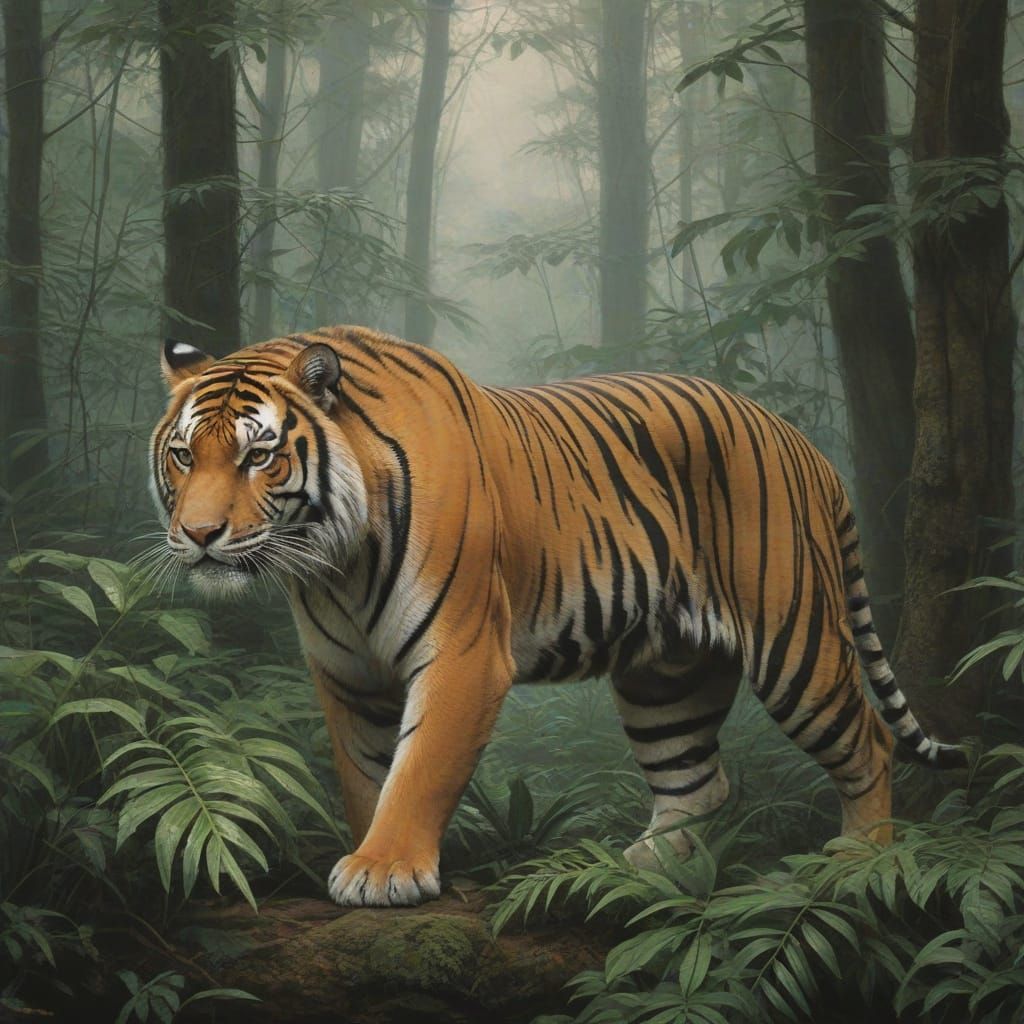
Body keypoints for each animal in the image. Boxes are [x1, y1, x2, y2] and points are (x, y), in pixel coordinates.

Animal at [150, 325, 964, 907]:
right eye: (185, 456)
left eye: (259, 458)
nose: (199, 534)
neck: (334, 564)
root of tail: (798, 440)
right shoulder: (347, 673)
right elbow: (364, 774)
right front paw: (368, 852)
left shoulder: (464, 654)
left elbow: (419, 768)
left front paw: (385, 871)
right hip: (666, 675)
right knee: (697, 779)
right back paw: (637, 870)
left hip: (794, 640)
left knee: (867, 742)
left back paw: (860, 860)